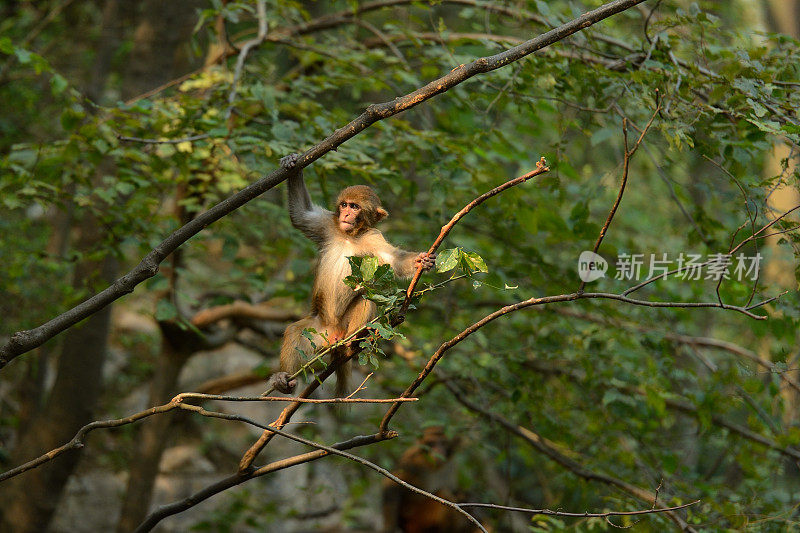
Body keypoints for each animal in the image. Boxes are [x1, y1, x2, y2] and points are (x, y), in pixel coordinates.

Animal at [270, 154, 434, 394]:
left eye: (355, 207)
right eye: (345, 205)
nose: (346, 214)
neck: (350, 235)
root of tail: (332, 335)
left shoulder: (374, 238)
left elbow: (393, 260)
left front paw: (418, 261)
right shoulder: (328, 225)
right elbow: (302, 216)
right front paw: (291, 164)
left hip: (342, 326)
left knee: (366, 297)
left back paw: (352, 342)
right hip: (315, 330)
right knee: (294, 332)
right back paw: (284, 379)